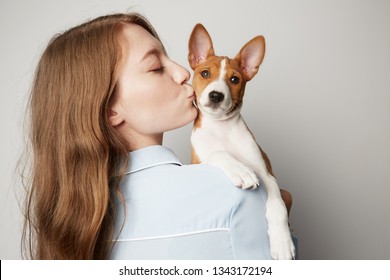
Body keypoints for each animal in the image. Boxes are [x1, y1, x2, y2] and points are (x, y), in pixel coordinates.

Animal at [189, 24, 296, 260]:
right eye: (205, 73)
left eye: (235, 80)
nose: (216, 95)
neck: (221, 128)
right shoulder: (197, 163)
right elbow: (217, 153)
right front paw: (240, 170)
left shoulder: (267, 175)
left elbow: (277, 206)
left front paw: (282, 243)